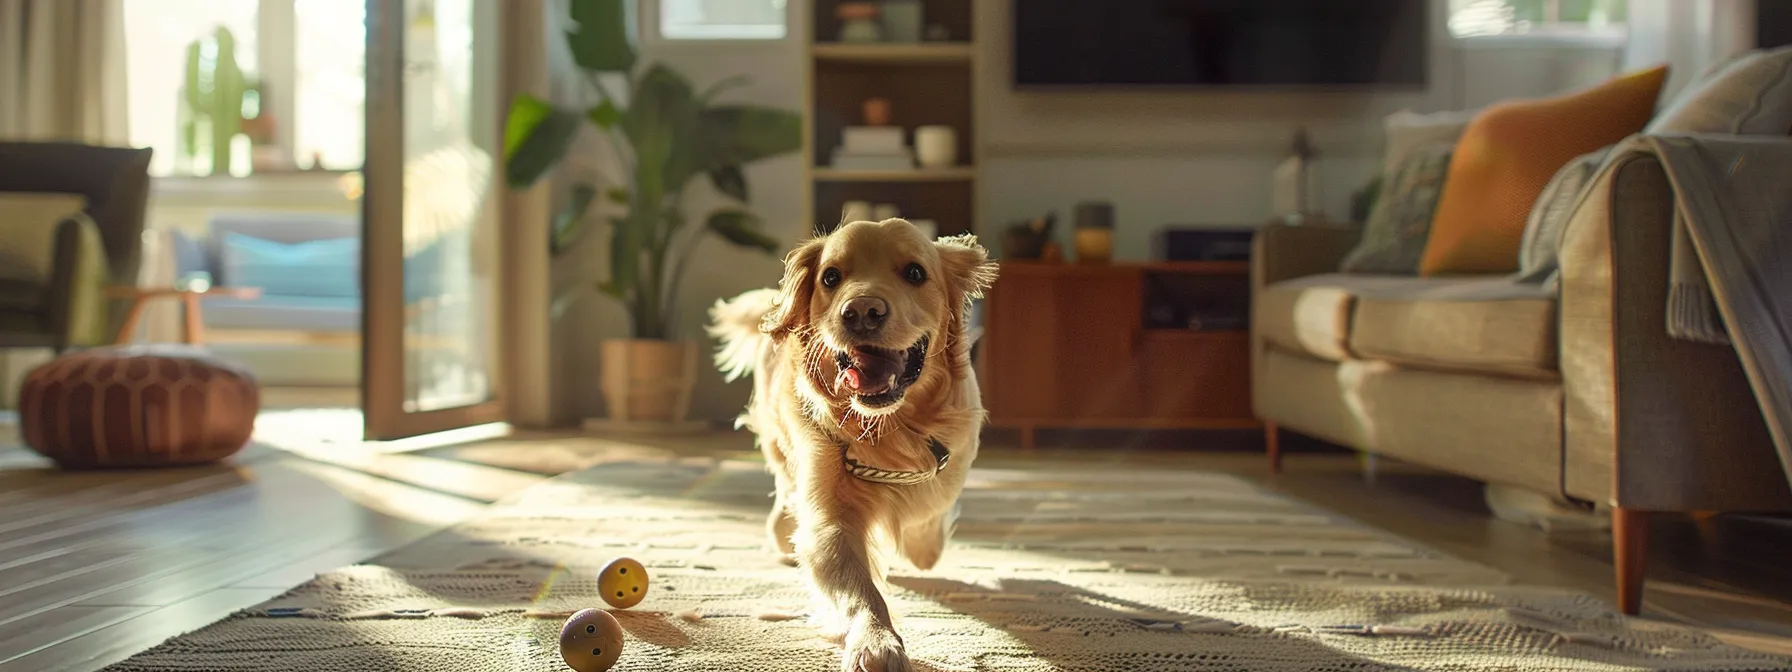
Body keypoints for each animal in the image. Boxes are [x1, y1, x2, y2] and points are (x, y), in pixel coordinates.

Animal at [709, 218, 996, 670]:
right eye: (831, 277)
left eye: (915, 272)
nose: (862, 311)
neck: (888, 428)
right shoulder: (830, 512)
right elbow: (858, 588)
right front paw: (876, 641)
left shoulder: (949, 465)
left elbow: (927, 519)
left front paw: (920, 546)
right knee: (785, 497)